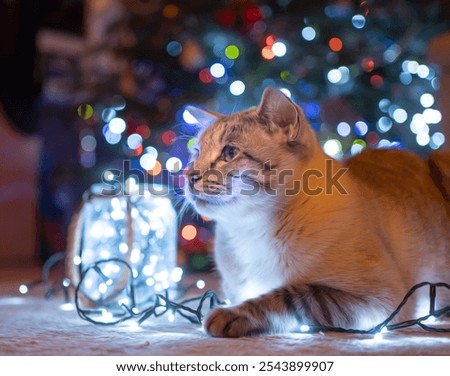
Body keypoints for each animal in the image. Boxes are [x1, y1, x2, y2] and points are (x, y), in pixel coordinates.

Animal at [184, 87, 450, 338]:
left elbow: (291, 296)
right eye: (196, 153)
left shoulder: (381, 297)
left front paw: (227, 314)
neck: (250, 229)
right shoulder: (234, 288)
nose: (188, 176)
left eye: (229, 152)